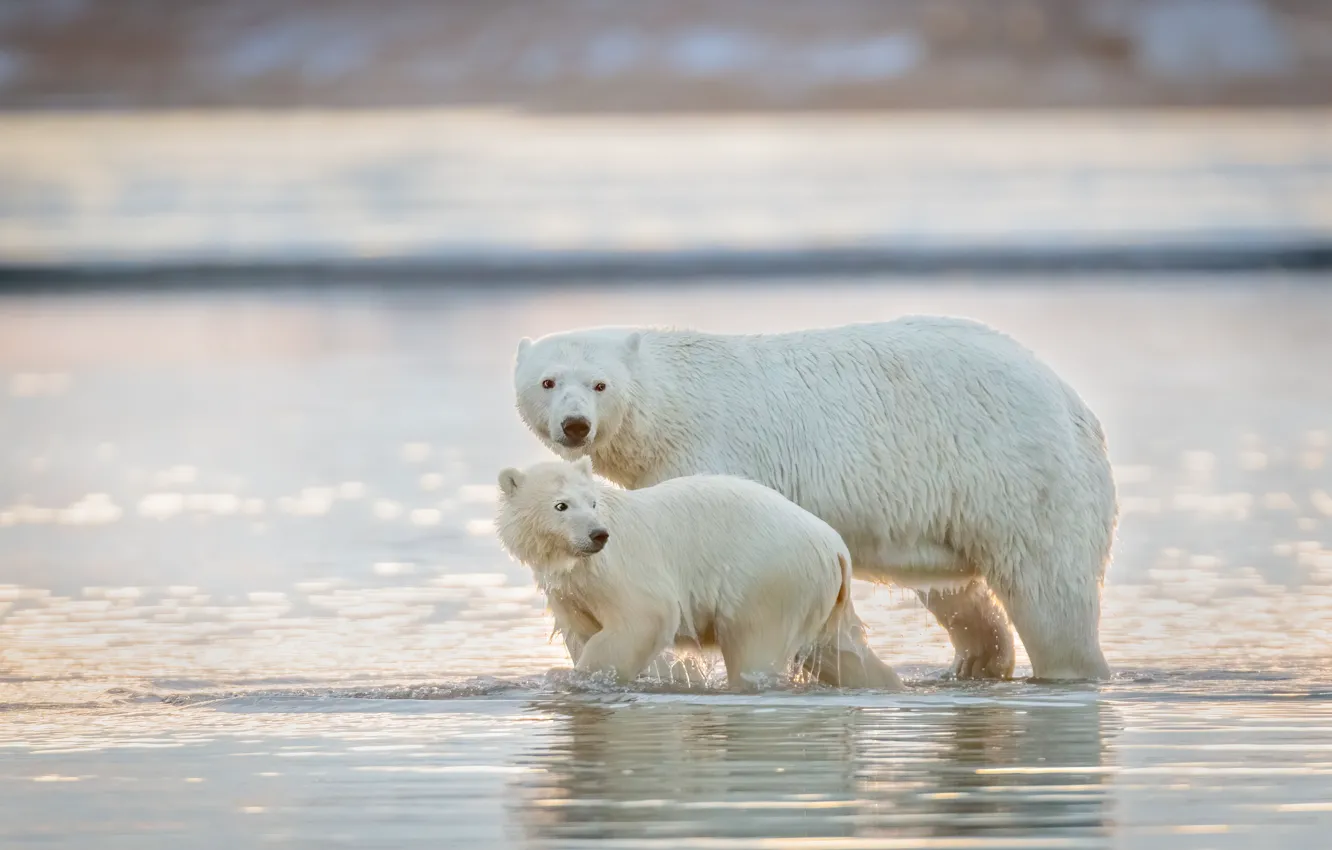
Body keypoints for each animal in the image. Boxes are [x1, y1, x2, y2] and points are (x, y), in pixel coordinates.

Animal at [494, 457, 902, 691]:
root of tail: (835, 546)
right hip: (819, 594)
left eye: (592, 502)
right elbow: (581, 630)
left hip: (769, 581)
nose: (598, 534)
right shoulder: (570, 586)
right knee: (840, 652)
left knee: (756, 649)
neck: (575, 561)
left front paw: (590, 677)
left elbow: (645, 615)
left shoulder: (621, 567)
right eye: (561, 506)